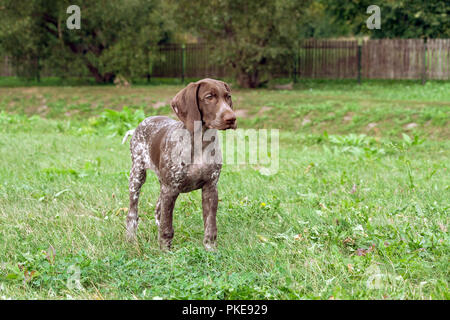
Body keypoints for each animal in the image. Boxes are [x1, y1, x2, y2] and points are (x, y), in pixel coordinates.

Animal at [122, 77, 236, 250]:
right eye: (209, 97)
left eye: (227, 96)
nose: (232, 118)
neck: (200, 142)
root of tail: (139, 125)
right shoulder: (170, 189)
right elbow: (167, 228)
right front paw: (165, 252)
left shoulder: (210, 188)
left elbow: (210, 226)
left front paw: (210, 250)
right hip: (137, 176)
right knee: (132, 213)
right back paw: (131, 239)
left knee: (158, 210)